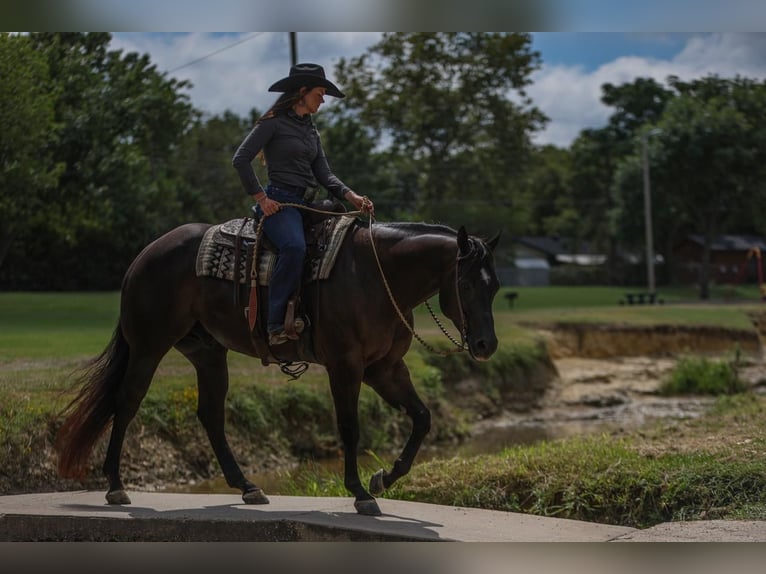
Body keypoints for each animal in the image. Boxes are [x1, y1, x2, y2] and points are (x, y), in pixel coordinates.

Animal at [57, 217, 500, 516]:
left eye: (494, 286)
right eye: (464, 284)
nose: (486, 345)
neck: (377, 276)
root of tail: (146, 254)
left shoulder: (385, 368)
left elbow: (422, 418)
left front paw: (383, 478)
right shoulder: (346, 367)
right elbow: (350, 428)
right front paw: (360, 491)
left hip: (207, 352)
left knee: (210, 414)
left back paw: (246, 486)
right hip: (149, 347)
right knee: (126, 402)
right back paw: (116, 485)